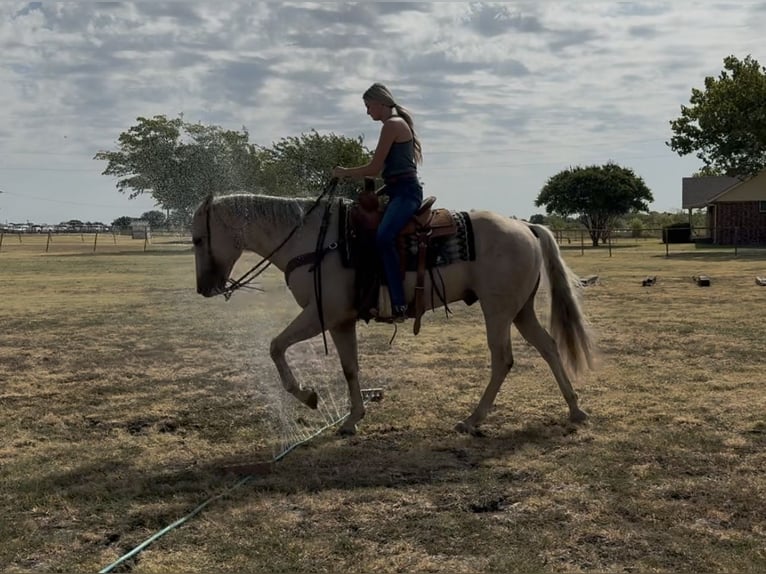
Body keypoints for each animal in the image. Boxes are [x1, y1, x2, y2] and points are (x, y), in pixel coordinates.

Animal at [191, 191, 595, 436]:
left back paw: (473, 418)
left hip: (497, 311)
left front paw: (307, 396)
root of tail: (525, 226)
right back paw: (575, 409)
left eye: (197, 239)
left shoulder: (320, 314)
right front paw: (352, 419)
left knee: (503, 359)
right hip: (519, 311)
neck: (314, 241)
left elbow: (276, 346)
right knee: (549, 347)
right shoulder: (340, 320)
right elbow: (350, 368)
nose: (204, 288)